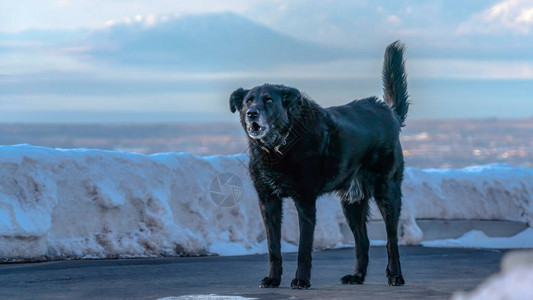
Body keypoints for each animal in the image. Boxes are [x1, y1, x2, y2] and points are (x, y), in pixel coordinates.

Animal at [228, 41, 408, 288]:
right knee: (363, 241)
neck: (280, 145)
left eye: (269, 100)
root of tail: (389, 112)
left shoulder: (305, 200)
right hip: (351, 202)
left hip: (387, 192)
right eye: (248, 101)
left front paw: (301, 280)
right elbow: (273, 247)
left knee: (391, 240)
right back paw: (356, 276)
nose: (252, 114)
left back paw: (396, 275)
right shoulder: (268, 201)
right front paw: (273, 279)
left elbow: (304, 248)